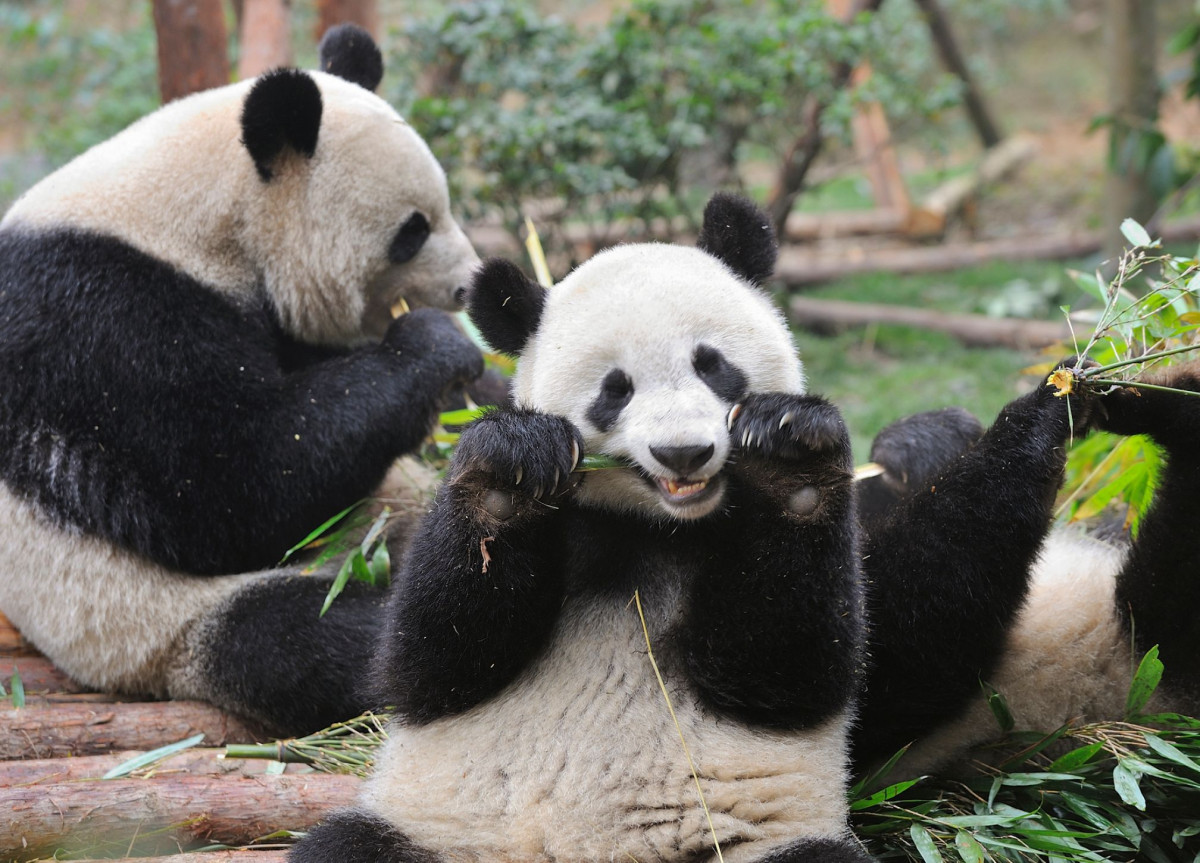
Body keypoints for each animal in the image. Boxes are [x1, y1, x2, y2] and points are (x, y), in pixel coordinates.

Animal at [1, 25, 487, 734]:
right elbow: (234, 487)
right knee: (320, 634)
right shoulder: (101, 318)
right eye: (412, 231)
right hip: (154, 624)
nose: (466, 286)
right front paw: (436, 347)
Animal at [289, 194, 873, 863]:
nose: (683, 453)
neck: (655, 527)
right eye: (614, 391)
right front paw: (512, 469)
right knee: (345, 843)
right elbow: (430, 663)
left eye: (713, 366)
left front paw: (787, 455)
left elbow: (787, 668)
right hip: (434, 829)